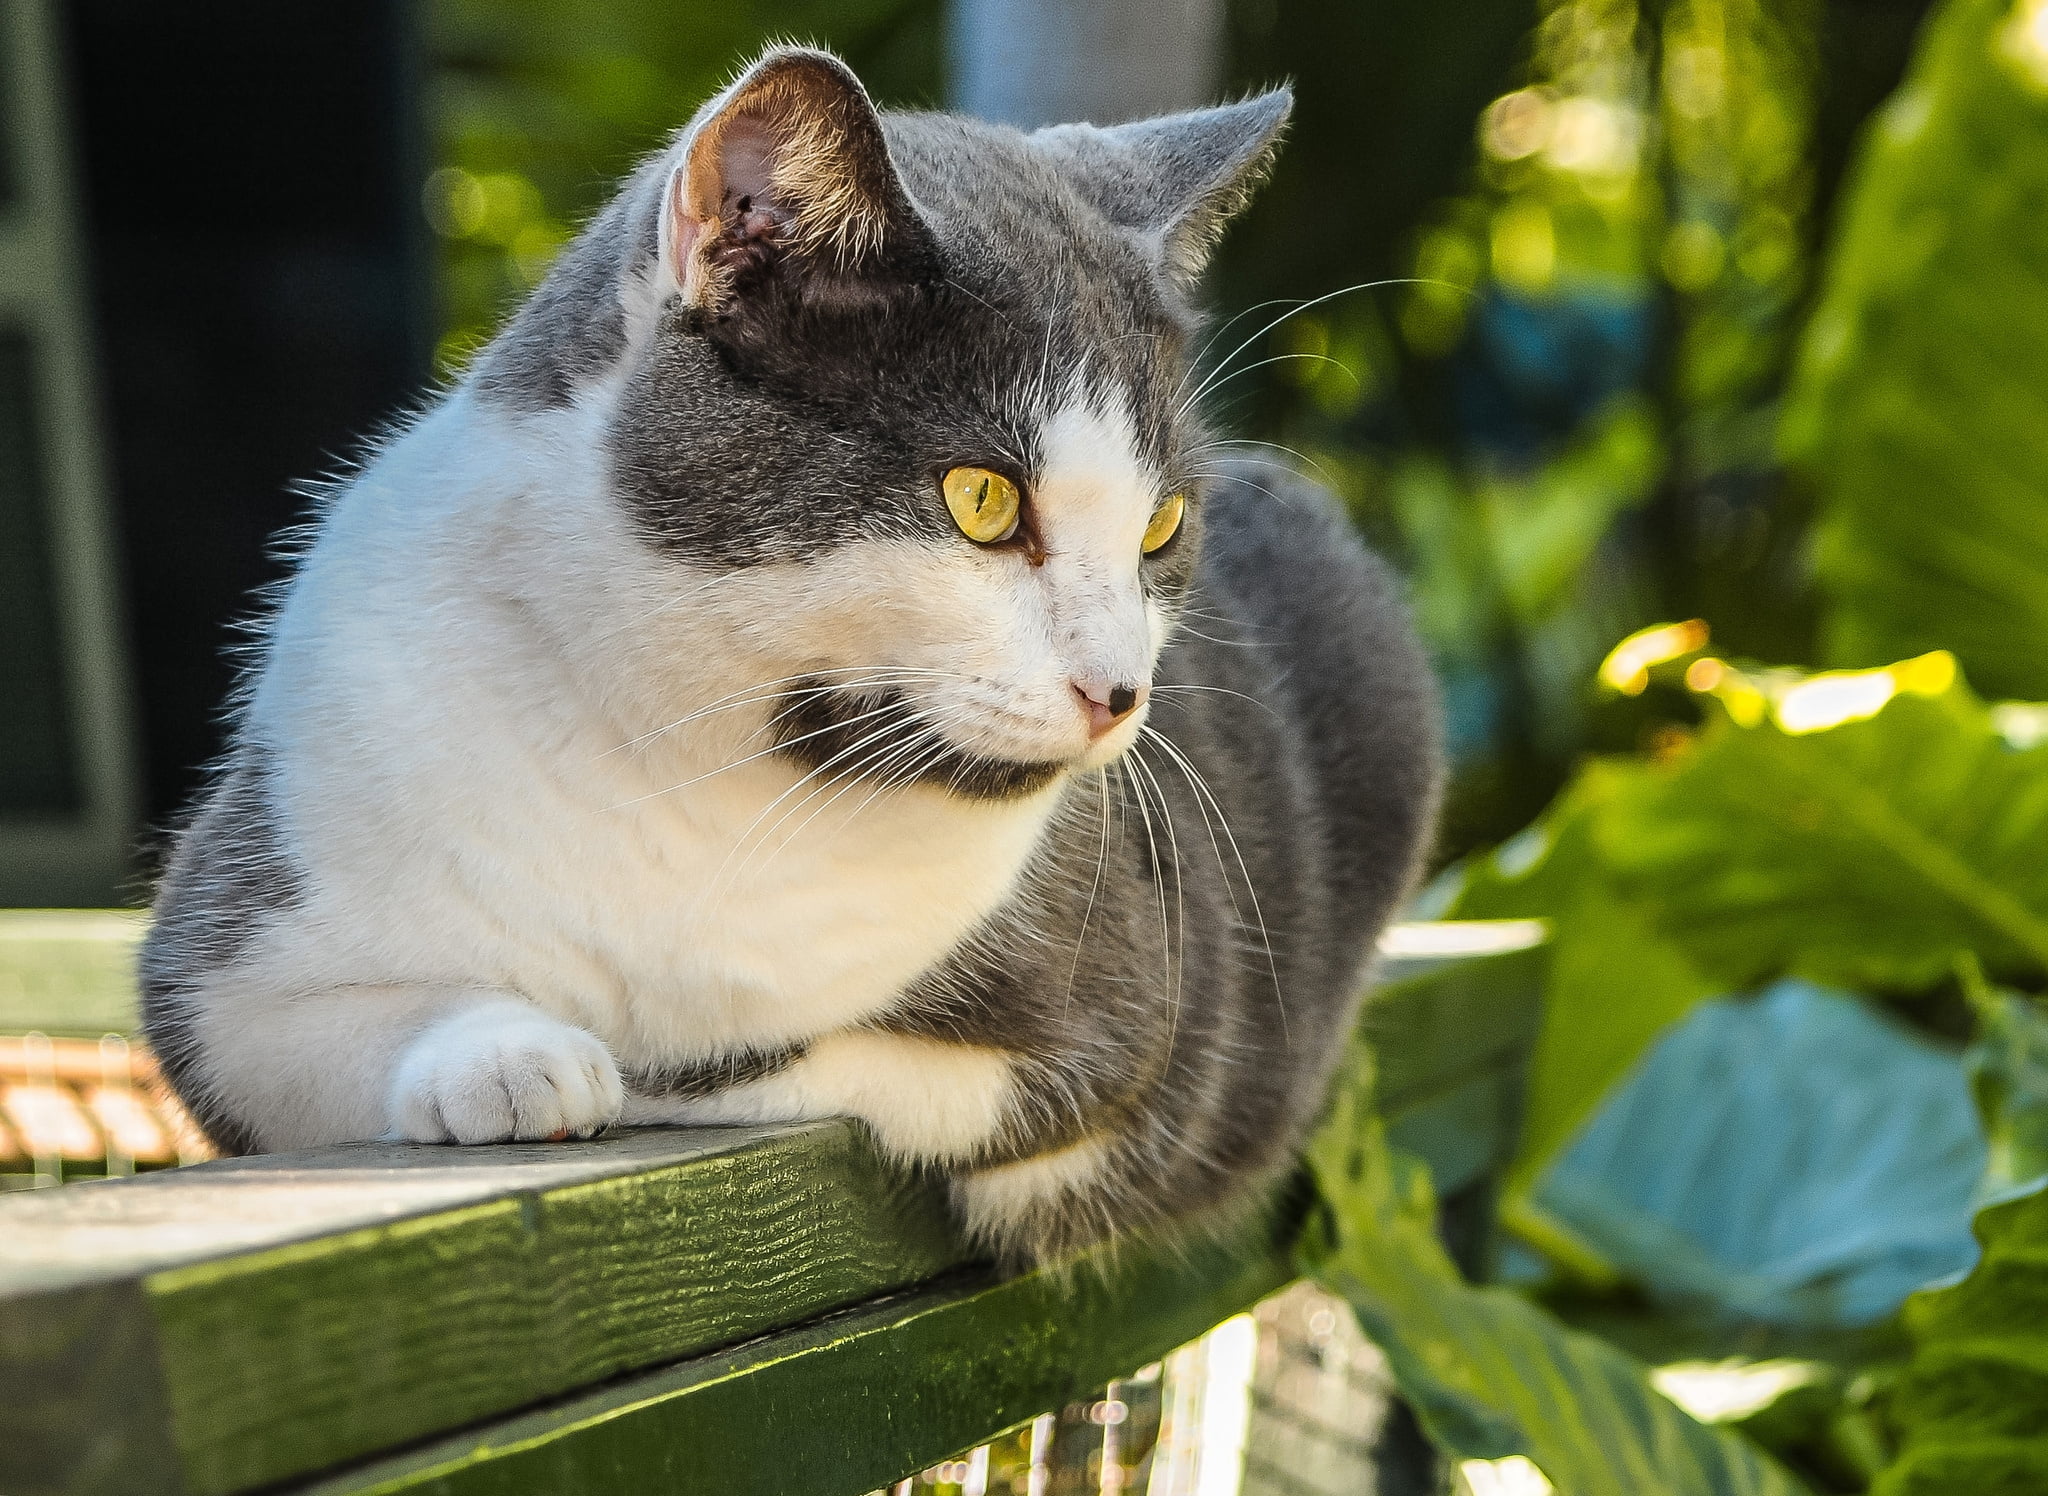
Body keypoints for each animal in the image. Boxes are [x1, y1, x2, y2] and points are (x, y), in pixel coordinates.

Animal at [140, 46, 1441, 1262]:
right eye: (980, 498)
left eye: (1162, 524)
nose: (1120, 691)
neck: (686, 759)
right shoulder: (227, 953)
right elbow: (265, 1034)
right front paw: (510, 1059)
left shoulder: (1118, 1008)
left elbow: (777, 1062)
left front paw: (636, 1061)